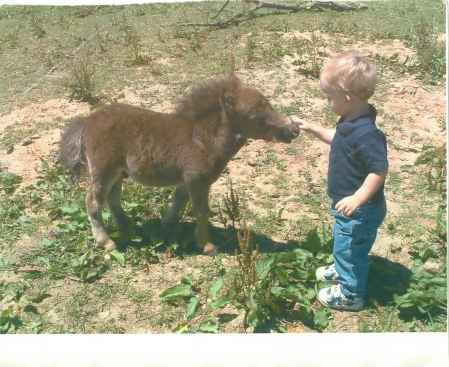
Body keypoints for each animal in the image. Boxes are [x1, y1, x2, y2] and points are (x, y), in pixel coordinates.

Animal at [58, 73, 298, 254]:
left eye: (269, 103)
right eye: (254, 117)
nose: (293, 129)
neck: (202, 138)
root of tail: (88, 121)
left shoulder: (186, 181)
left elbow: (179, 201)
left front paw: (166, 226)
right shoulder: (198, 180)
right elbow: (201, 211)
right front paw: (207, 246)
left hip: (117, 172)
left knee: (112, 198)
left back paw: (126, 226)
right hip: (103, 170)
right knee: (93, 201)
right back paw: (106, 242)